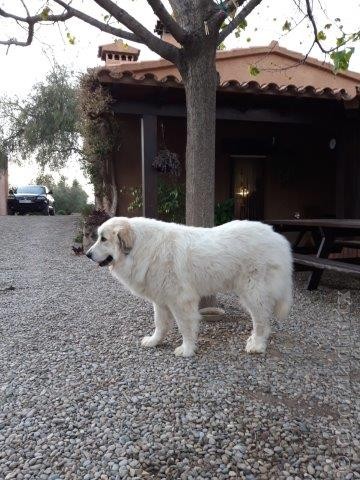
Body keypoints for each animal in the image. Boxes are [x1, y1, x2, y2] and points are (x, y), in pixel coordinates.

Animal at [86, 218, 292, 356]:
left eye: (103, 239)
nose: (87, 254)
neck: (141, 248)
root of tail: (278, 238)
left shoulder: (181, 300)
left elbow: (185, 326)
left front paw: (186, 349)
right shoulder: (161, 300)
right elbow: (160, 324)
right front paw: (154, 341)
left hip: (253, 292)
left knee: (261, 321)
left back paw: (257, 345)